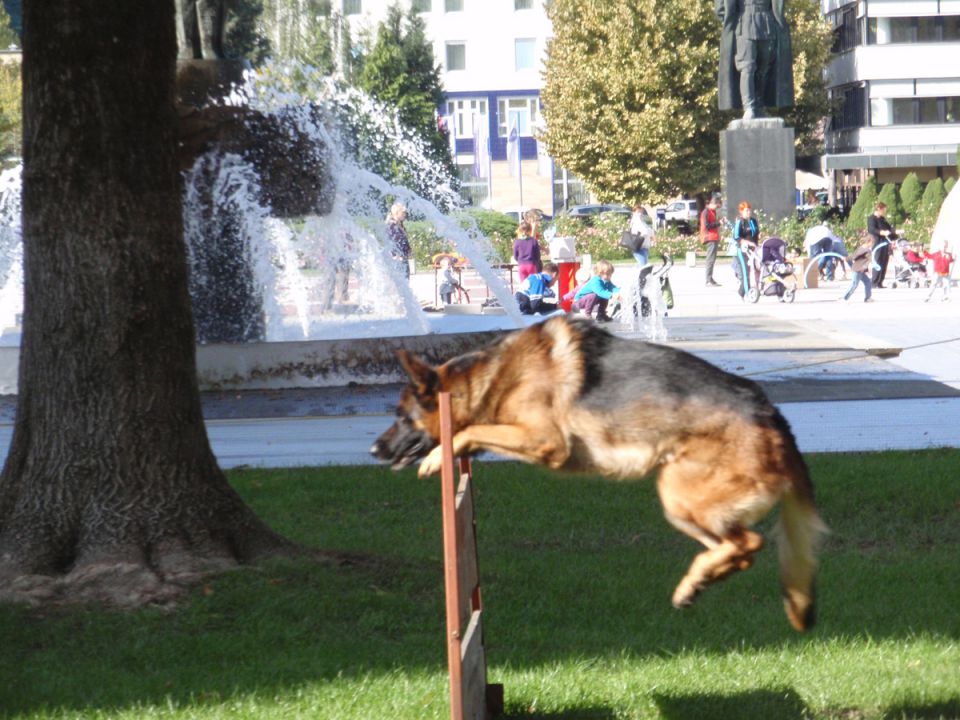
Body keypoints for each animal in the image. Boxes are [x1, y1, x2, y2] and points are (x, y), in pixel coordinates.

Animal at [372, 316, 820, 632]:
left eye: (402, 417)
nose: (374, 450)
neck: (492, 377)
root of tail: (770, 413)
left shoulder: (545, 440)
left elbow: (469, 431)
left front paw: (438, 457)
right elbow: (472, 433)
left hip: (679, 495)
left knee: (750, 542)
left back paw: (694, 581)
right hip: (686, 506)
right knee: (742, 551)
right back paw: (698, 583)